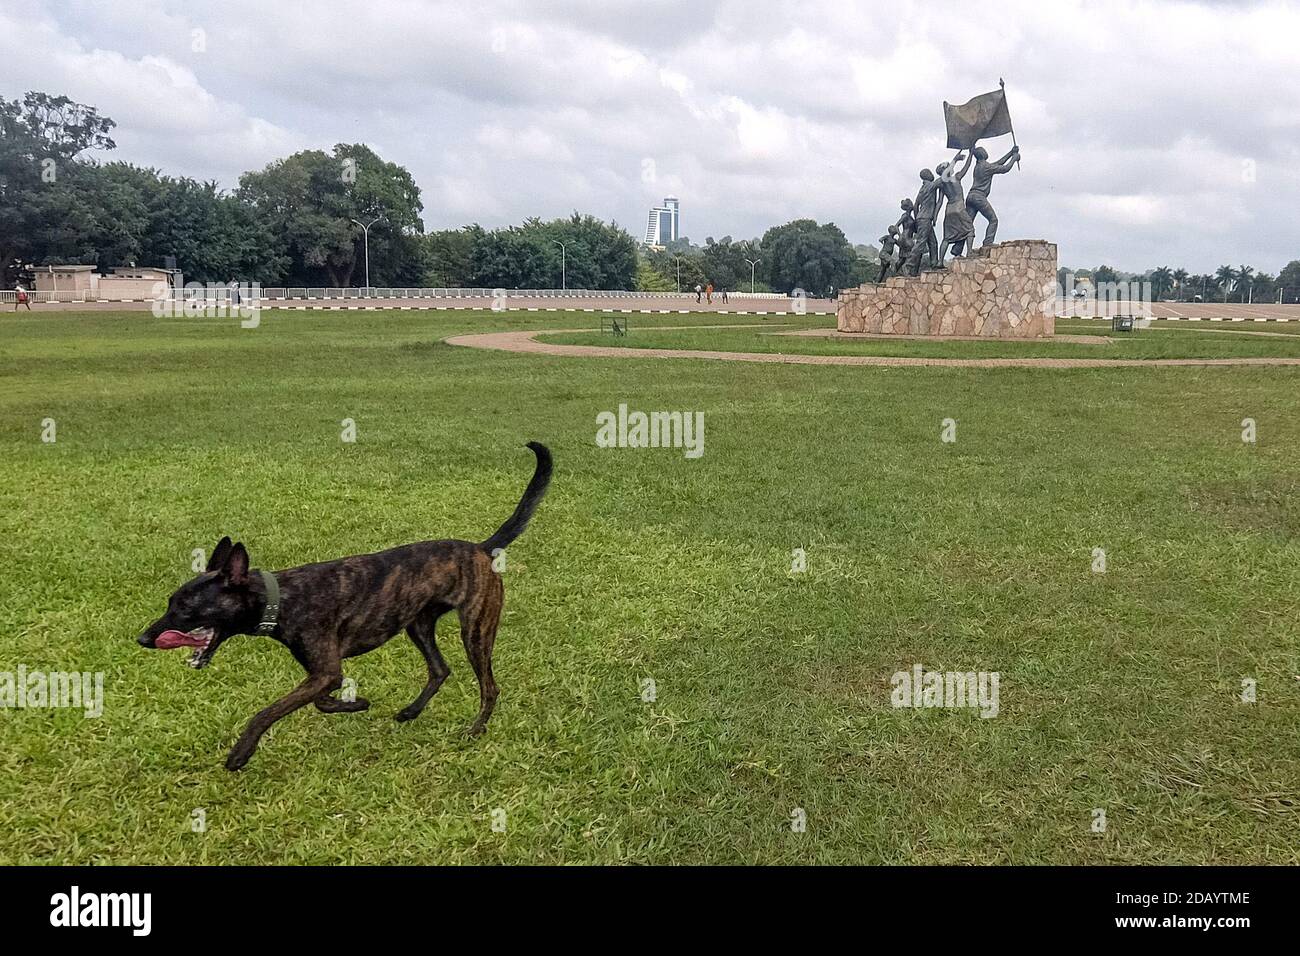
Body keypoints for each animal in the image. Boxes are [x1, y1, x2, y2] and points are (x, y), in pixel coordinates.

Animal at [135, 442, 548, 770]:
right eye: (171, 602)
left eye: (185, 606)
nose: (142, 638)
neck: (279, 598)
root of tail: (481, 548)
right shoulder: (322, 673)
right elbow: (321, 702)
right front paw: (355, 704)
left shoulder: (326, 671)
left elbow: (269, 710)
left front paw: (241, 753)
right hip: (418, 625)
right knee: (440, 669)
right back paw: (411, 711)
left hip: (475, 630)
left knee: (489, 687)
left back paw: (475, 730)